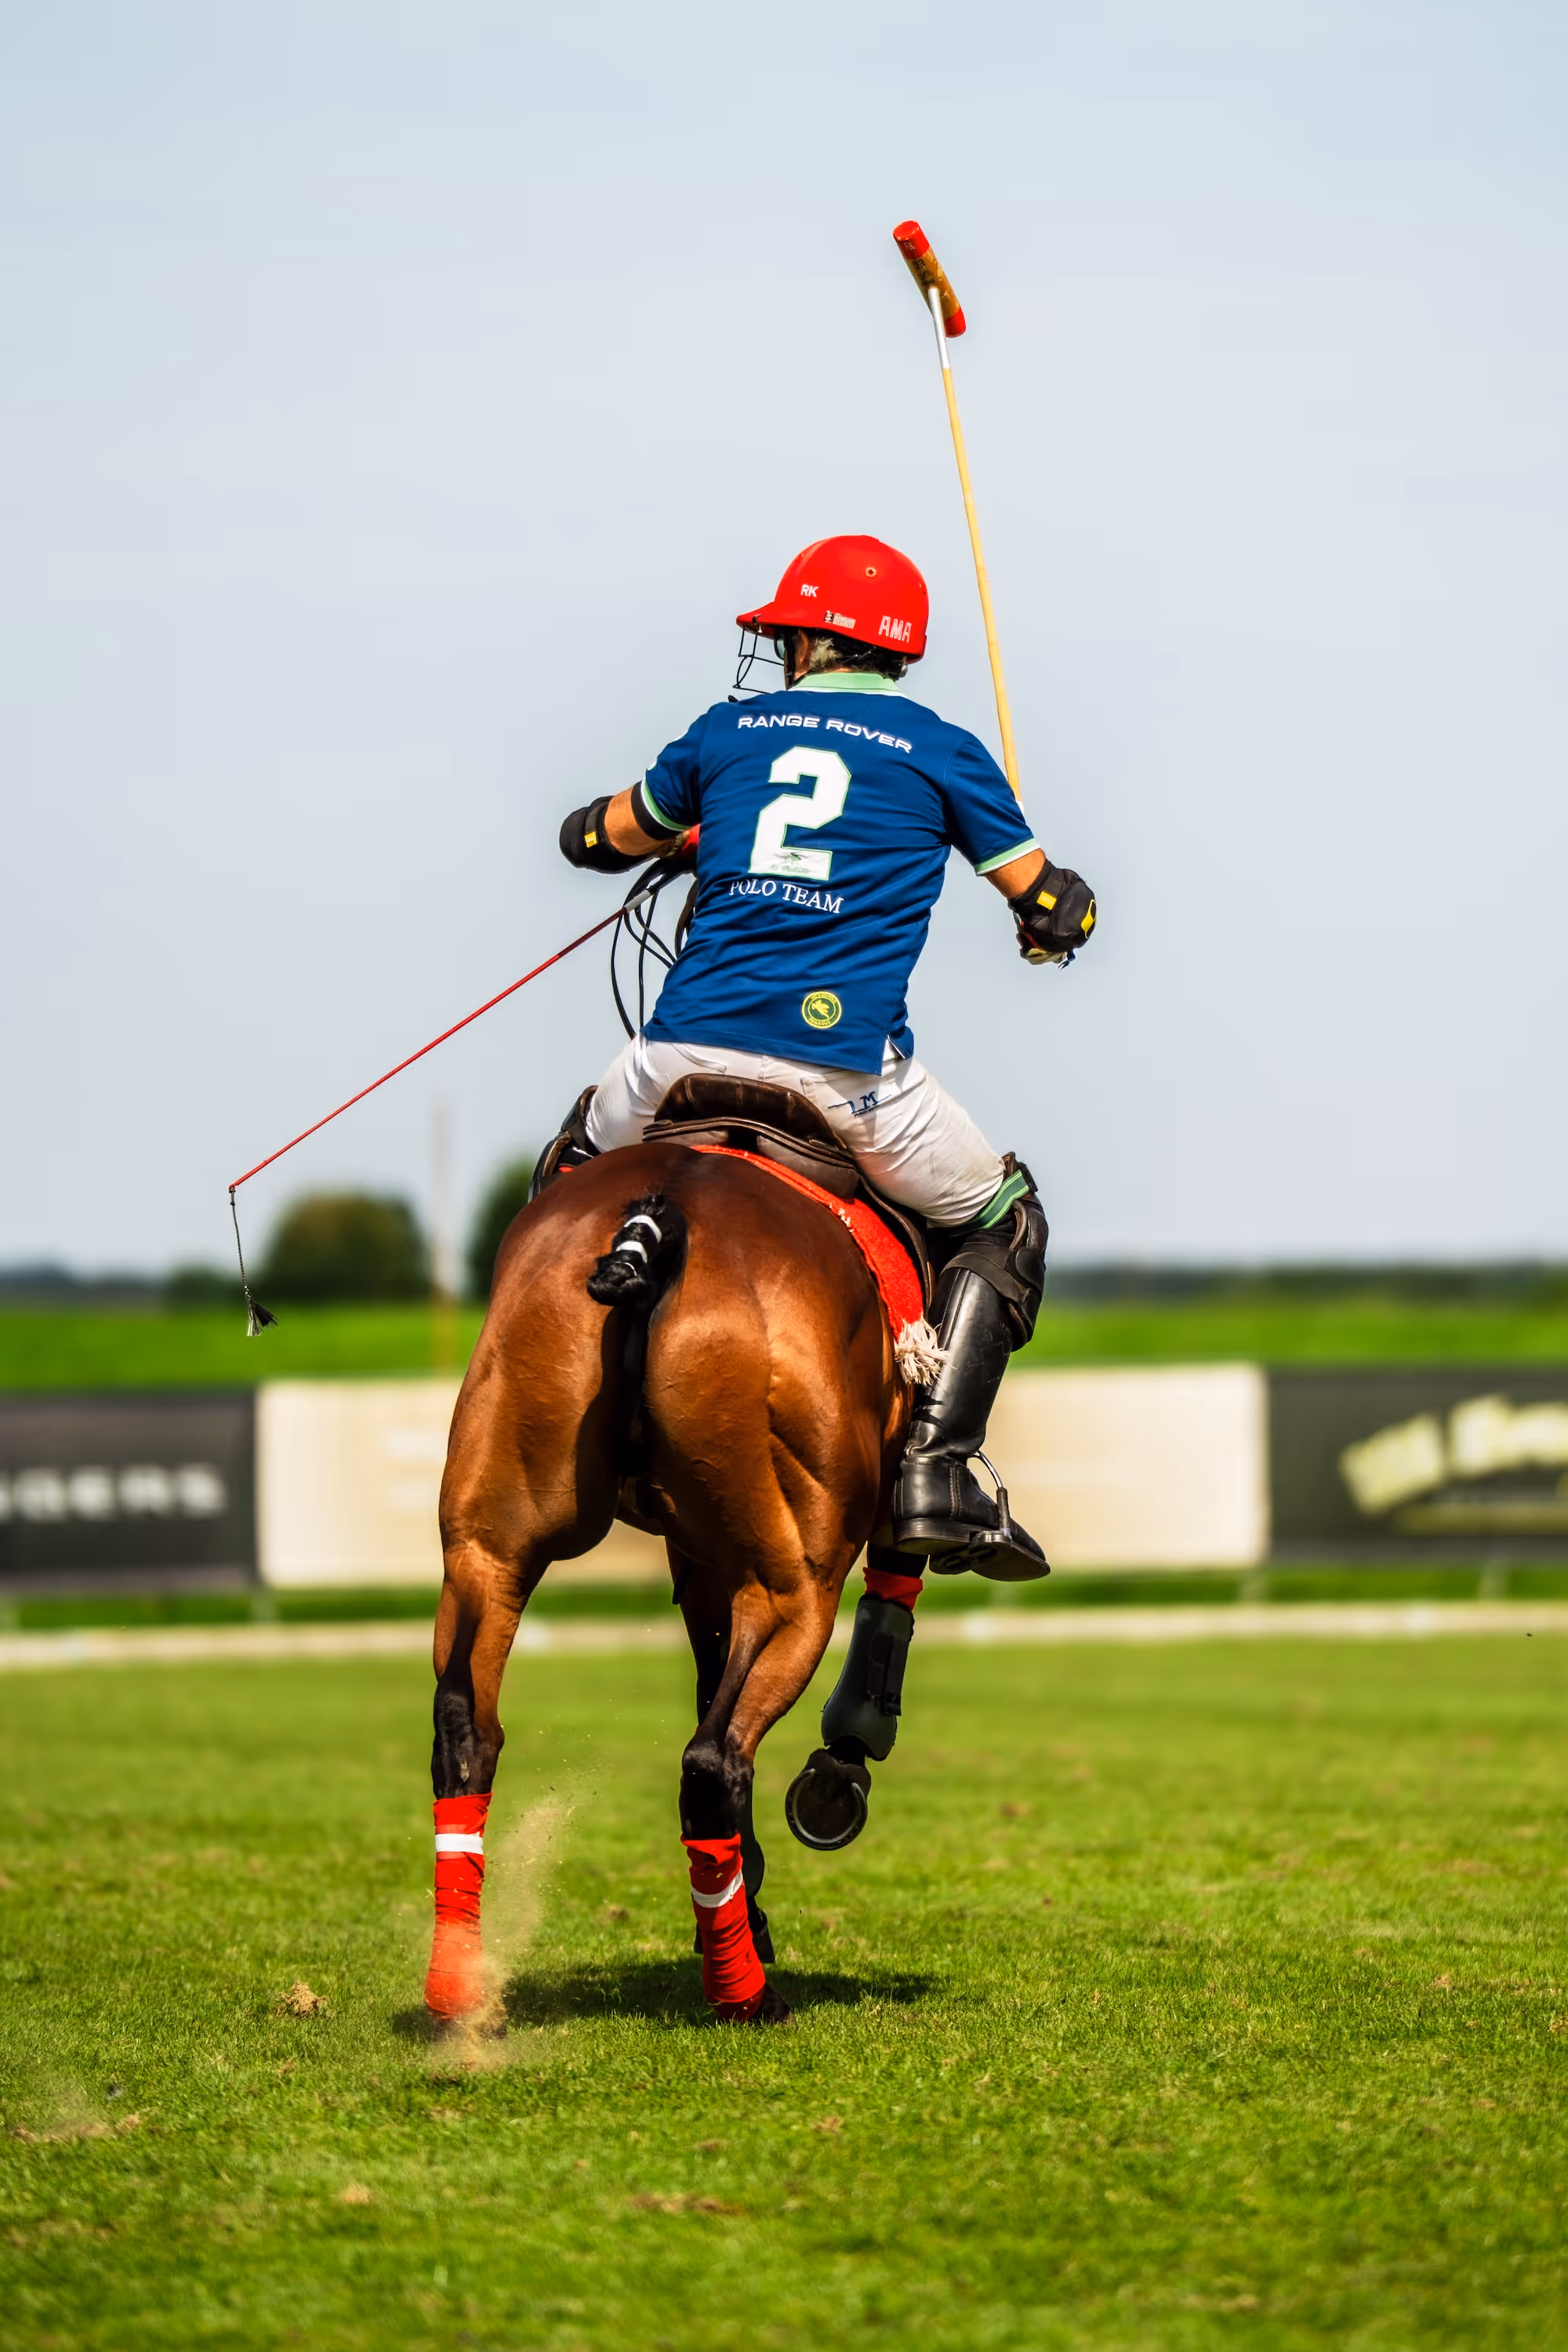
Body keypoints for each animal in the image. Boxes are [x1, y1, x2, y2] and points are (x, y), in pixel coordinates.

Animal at [423, 1127, 921, 2028]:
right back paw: (744, 1993)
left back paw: (457, 1989)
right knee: (715, 1756)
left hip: (490, 1542)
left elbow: (707, 1674)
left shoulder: (699, 1559)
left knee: (467, 1728)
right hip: (798, 1584)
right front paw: (840, 1770)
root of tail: (657, 1225)